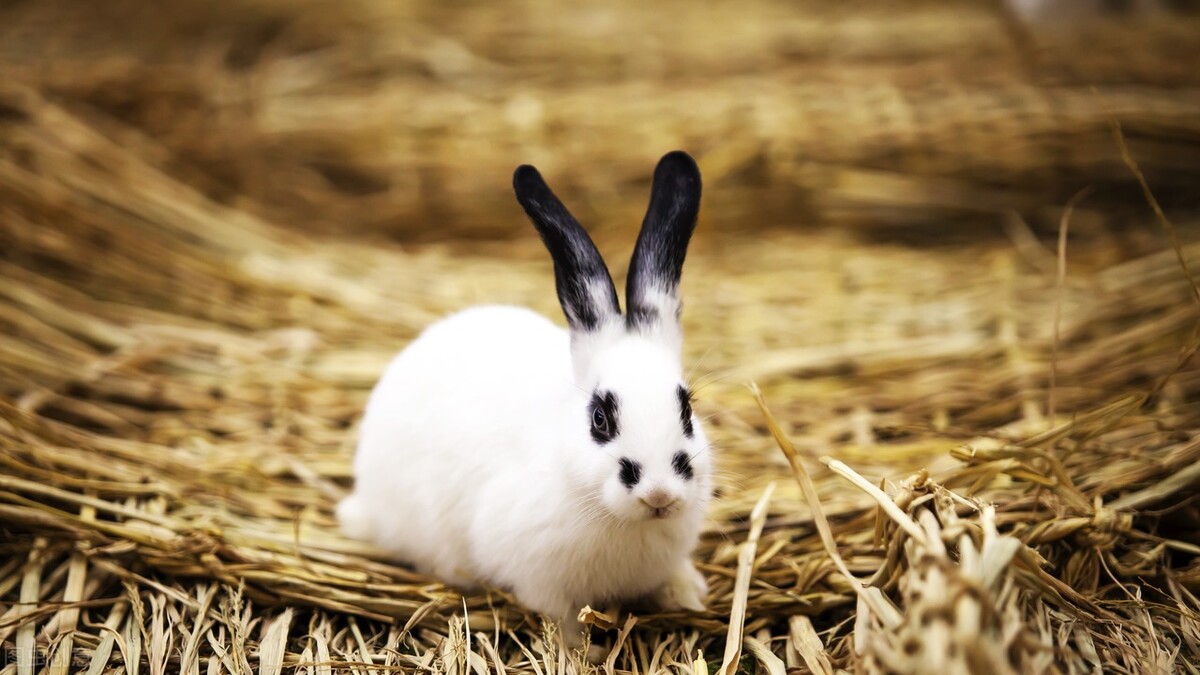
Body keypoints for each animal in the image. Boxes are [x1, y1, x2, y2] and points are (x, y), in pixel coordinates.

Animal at [337, 150, 712, 651]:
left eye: (686, 409)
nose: (659, 495)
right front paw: (586, 650)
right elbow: (559, 617)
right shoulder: (538, 576)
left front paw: (688, 594)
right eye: (599, 418)